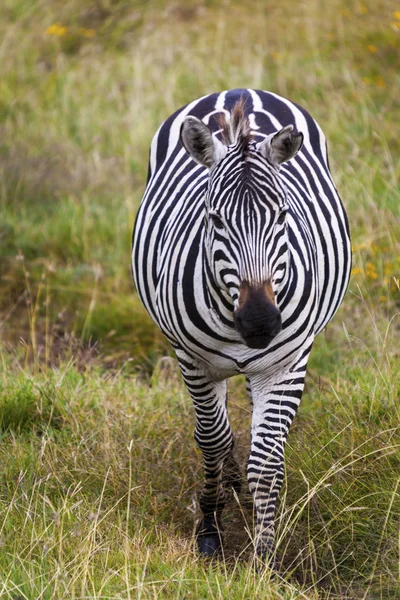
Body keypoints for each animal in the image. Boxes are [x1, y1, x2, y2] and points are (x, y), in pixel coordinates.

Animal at [131, 89, 350, 568]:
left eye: (283, 216)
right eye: (214, 220)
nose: (260, 323)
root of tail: (239, 91)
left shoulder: (286, 364)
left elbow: (265, 461)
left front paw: (264, 559)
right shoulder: (192, 360)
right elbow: (213, 440)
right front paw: (210, 531)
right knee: (220, 436)